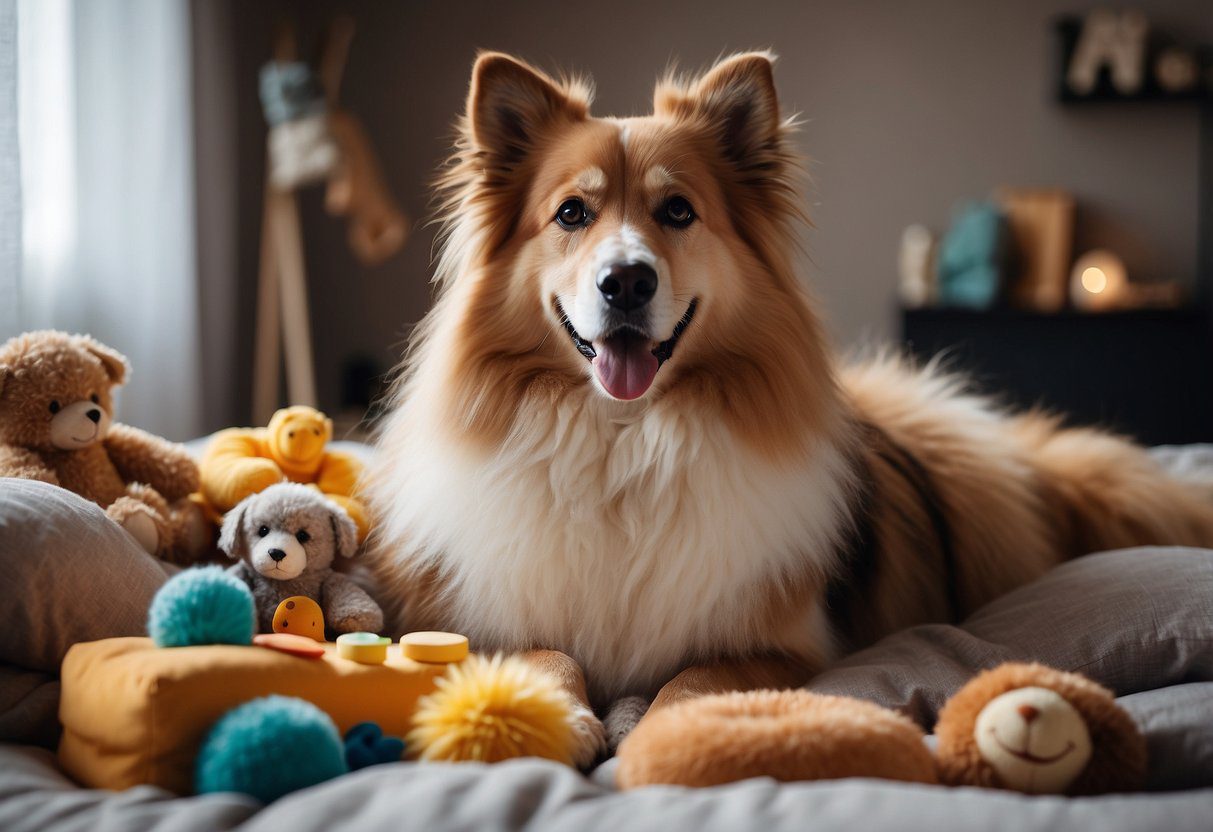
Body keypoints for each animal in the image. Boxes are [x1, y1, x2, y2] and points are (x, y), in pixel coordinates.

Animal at [363, 53, 1213, 771]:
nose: (626, 282)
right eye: (571, 214)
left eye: (678, 211)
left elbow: (697, 675)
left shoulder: (785, 646)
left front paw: (663, 724)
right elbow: (544, 652)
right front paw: (549, 710)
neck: (624, 437)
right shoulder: (478, 621)